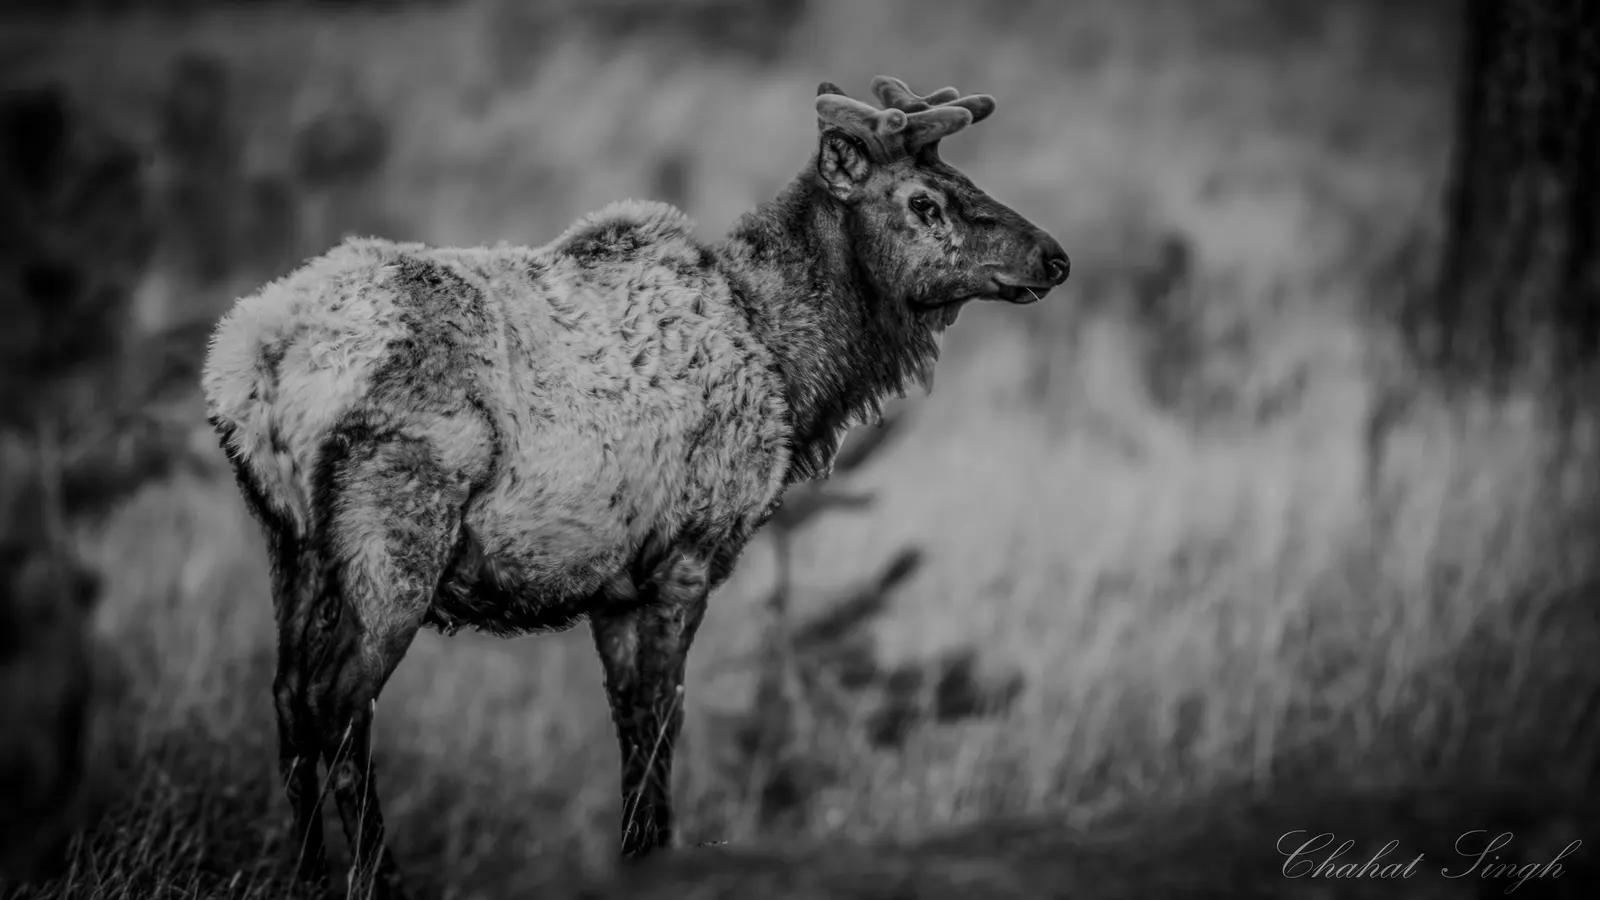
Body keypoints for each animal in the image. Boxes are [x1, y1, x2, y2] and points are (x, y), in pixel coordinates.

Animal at [201, 75, 1069, 898]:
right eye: (926, 202)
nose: (1054, 257)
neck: (795, 370)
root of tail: (253, 358)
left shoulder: (614, 589)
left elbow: (627, 728)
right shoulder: (686, 560)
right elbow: (661, 728)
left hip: (289, 541)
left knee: (288, 697)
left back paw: (309, 877)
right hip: (396, 531)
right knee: (341, 703)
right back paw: (377, 878)